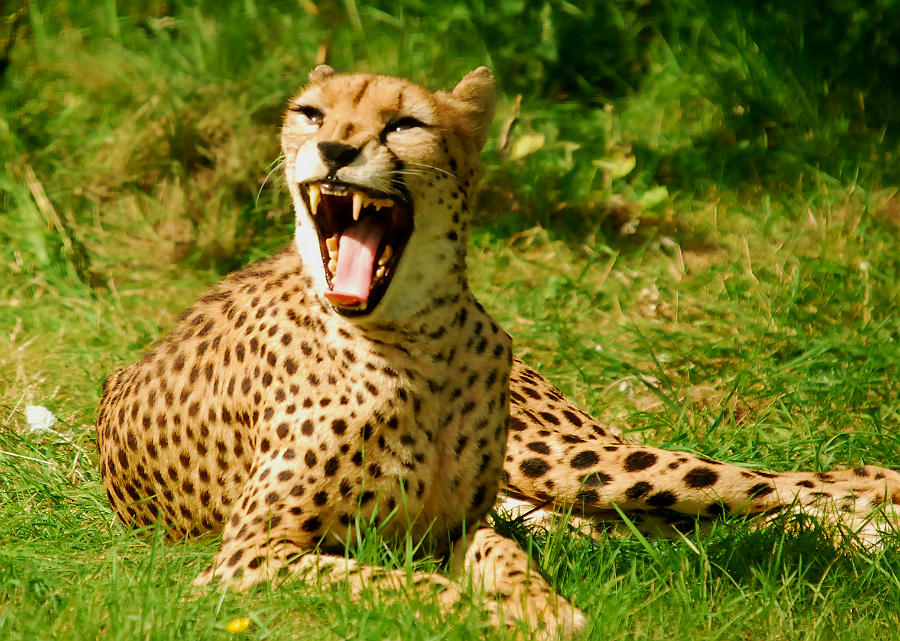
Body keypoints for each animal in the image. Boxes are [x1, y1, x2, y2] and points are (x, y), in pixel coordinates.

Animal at [97, 66, 900, 639]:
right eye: (312, 114)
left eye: (405, 123)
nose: (336, 151)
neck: (419, 336)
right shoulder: (249, 558)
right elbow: (394, 580)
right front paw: (491, 612)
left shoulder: (455, 527)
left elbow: (500, 556)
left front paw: (538, 605)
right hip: (560, 488)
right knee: (708, 516)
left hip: (562, 459)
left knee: (789, 481)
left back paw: (872, 525)